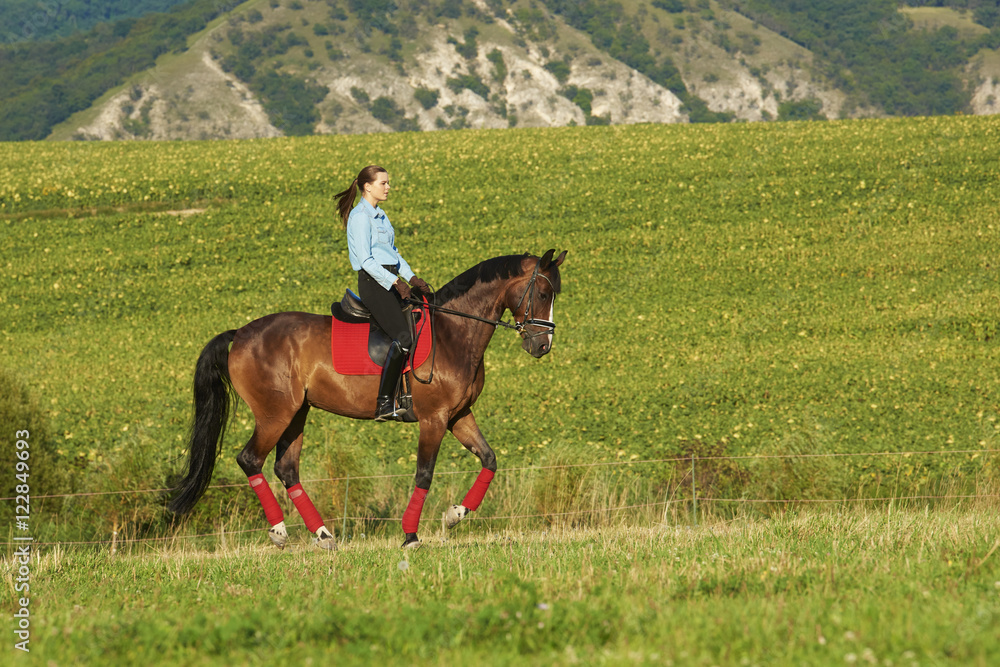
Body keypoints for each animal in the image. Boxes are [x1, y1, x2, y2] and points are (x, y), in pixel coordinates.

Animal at [168, 249, 567, 548]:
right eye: (542, 294)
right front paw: (410, 536)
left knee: (286, 468)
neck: (455, 332)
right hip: (274, 414)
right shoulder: (434, 419)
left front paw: (455, 515)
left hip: (297, 414)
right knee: (250, 459)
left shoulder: (458, 415)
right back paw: (279, 532)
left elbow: (489, 459)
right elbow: (424, 474)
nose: (542, 346)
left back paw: (323, 534)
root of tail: (240, 334)